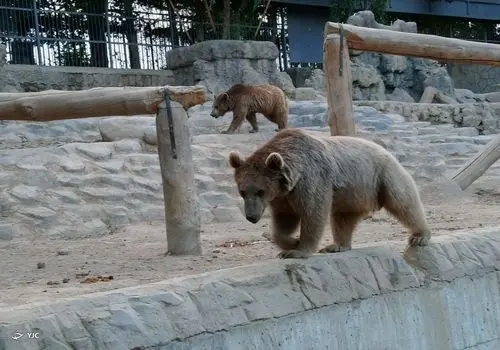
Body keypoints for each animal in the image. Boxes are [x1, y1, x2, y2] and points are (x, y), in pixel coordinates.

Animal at [229, 127, 432, 258]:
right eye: (242, 192)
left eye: (260, 191)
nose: (251, 217)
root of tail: (386, 151)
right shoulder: (283, 196)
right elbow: (284, 220)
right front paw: (290, 243)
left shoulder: (311, 179)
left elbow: (313, 213)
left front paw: (298, 250)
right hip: (351, 194)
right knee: (343, 218)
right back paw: (337, 245)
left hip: (382, 177)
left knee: (404, 203)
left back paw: (420, 236)